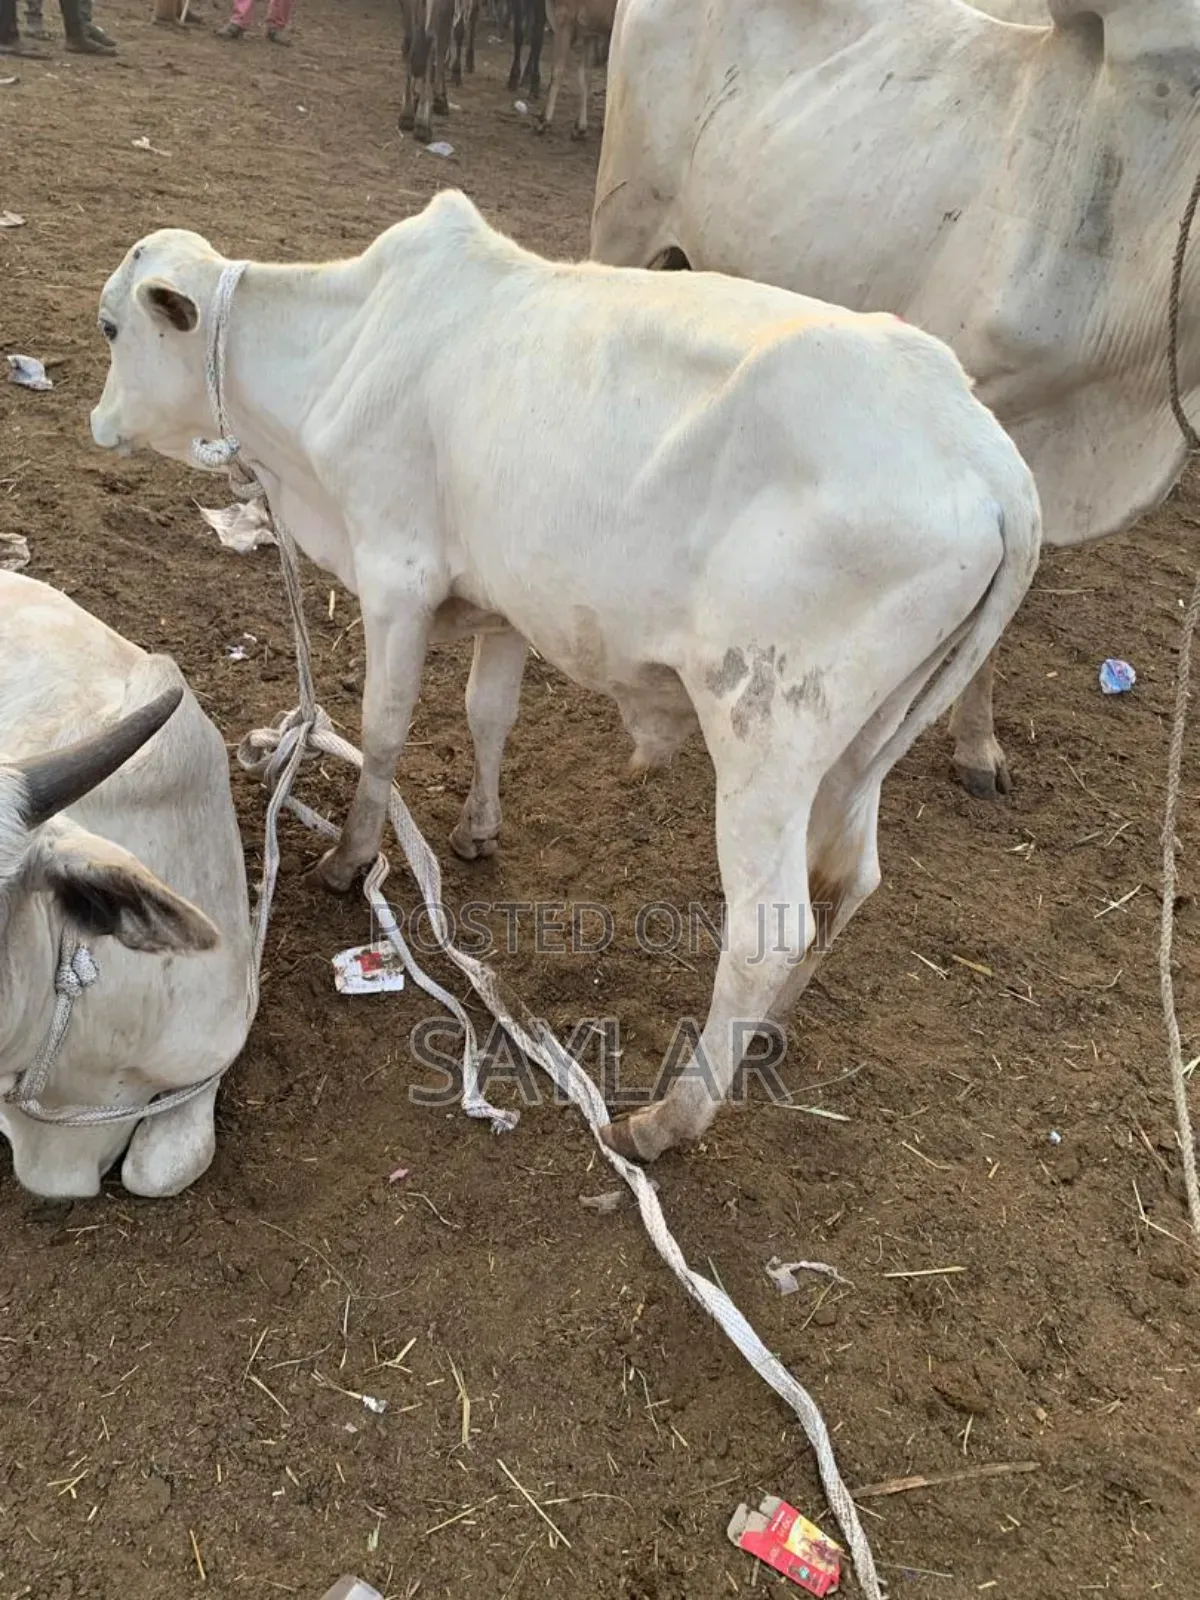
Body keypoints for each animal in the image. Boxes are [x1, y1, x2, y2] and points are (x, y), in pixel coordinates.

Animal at [89, 191, 1040, 1162]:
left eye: (110, 326)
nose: (98, 422)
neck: (347, 343)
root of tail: (994, 465)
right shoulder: (504, 601)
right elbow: (487, 713)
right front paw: (477, 830)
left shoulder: (397, 575)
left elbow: (385, 728)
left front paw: (351, 859)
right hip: (864, 743)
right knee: (850, 878)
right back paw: (768, 1030)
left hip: (768, 739)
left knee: (766, 930)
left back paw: (668, 1119)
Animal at [537, 0, 616, 138]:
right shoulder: (590, 30)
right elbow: (584, 76)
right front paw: (580, 127)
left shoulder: (564, 18)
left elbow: (557, 71)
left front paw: (544, 121)